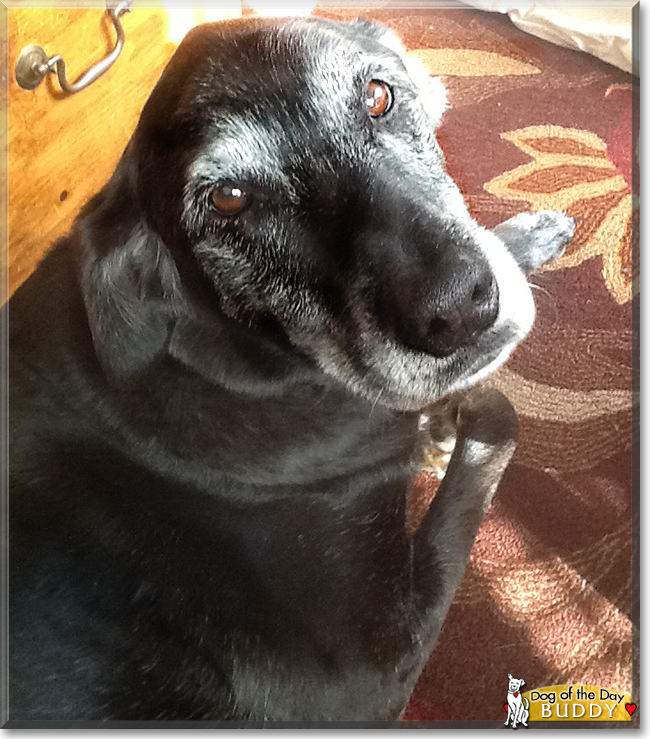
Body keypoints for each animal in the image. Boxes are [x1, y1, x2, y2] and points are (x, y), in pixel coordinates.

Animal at [6, 17, 572, 724]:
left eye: (379, 96)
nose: (458, 310)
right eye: (229, 199)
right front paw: (443, 424)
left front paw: (528, 234)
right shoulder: (374, 671)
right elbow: (498, 417)